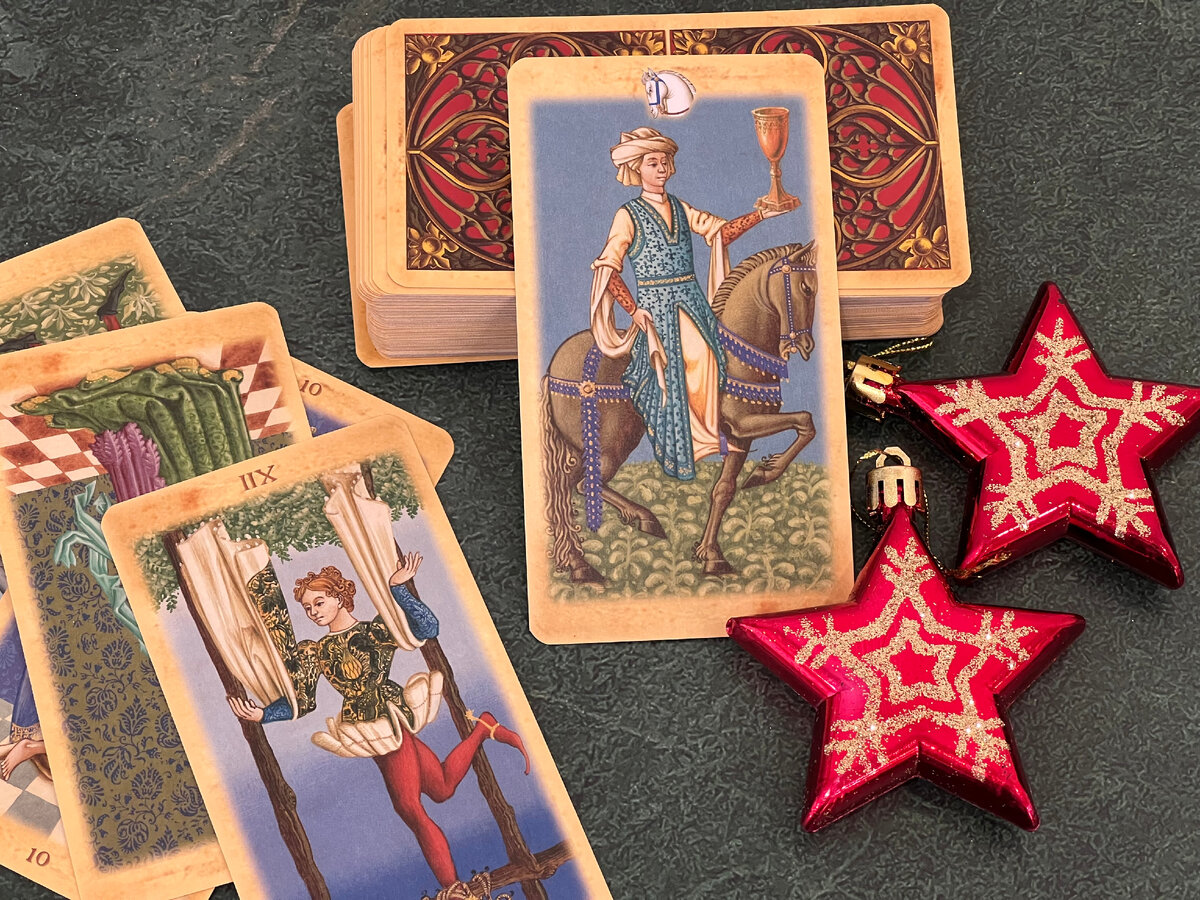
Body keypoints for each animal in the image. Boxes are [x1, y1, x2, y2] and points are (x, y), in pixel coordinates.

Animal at [539, 240, 819, 584]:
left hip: (583, 449)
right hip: (610, 446)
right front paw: (764, 473)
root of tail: (554, 368)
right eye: (805, 287)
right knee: (579, 487)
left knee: (564, 491)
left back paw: (580, 561)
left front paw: (711, 556)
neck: (737, 353)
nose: (806, 345)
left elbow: (723, 491)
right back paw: (625, 533)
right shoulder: (744, 423)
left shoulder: (738, 439)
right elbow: (805, 422)